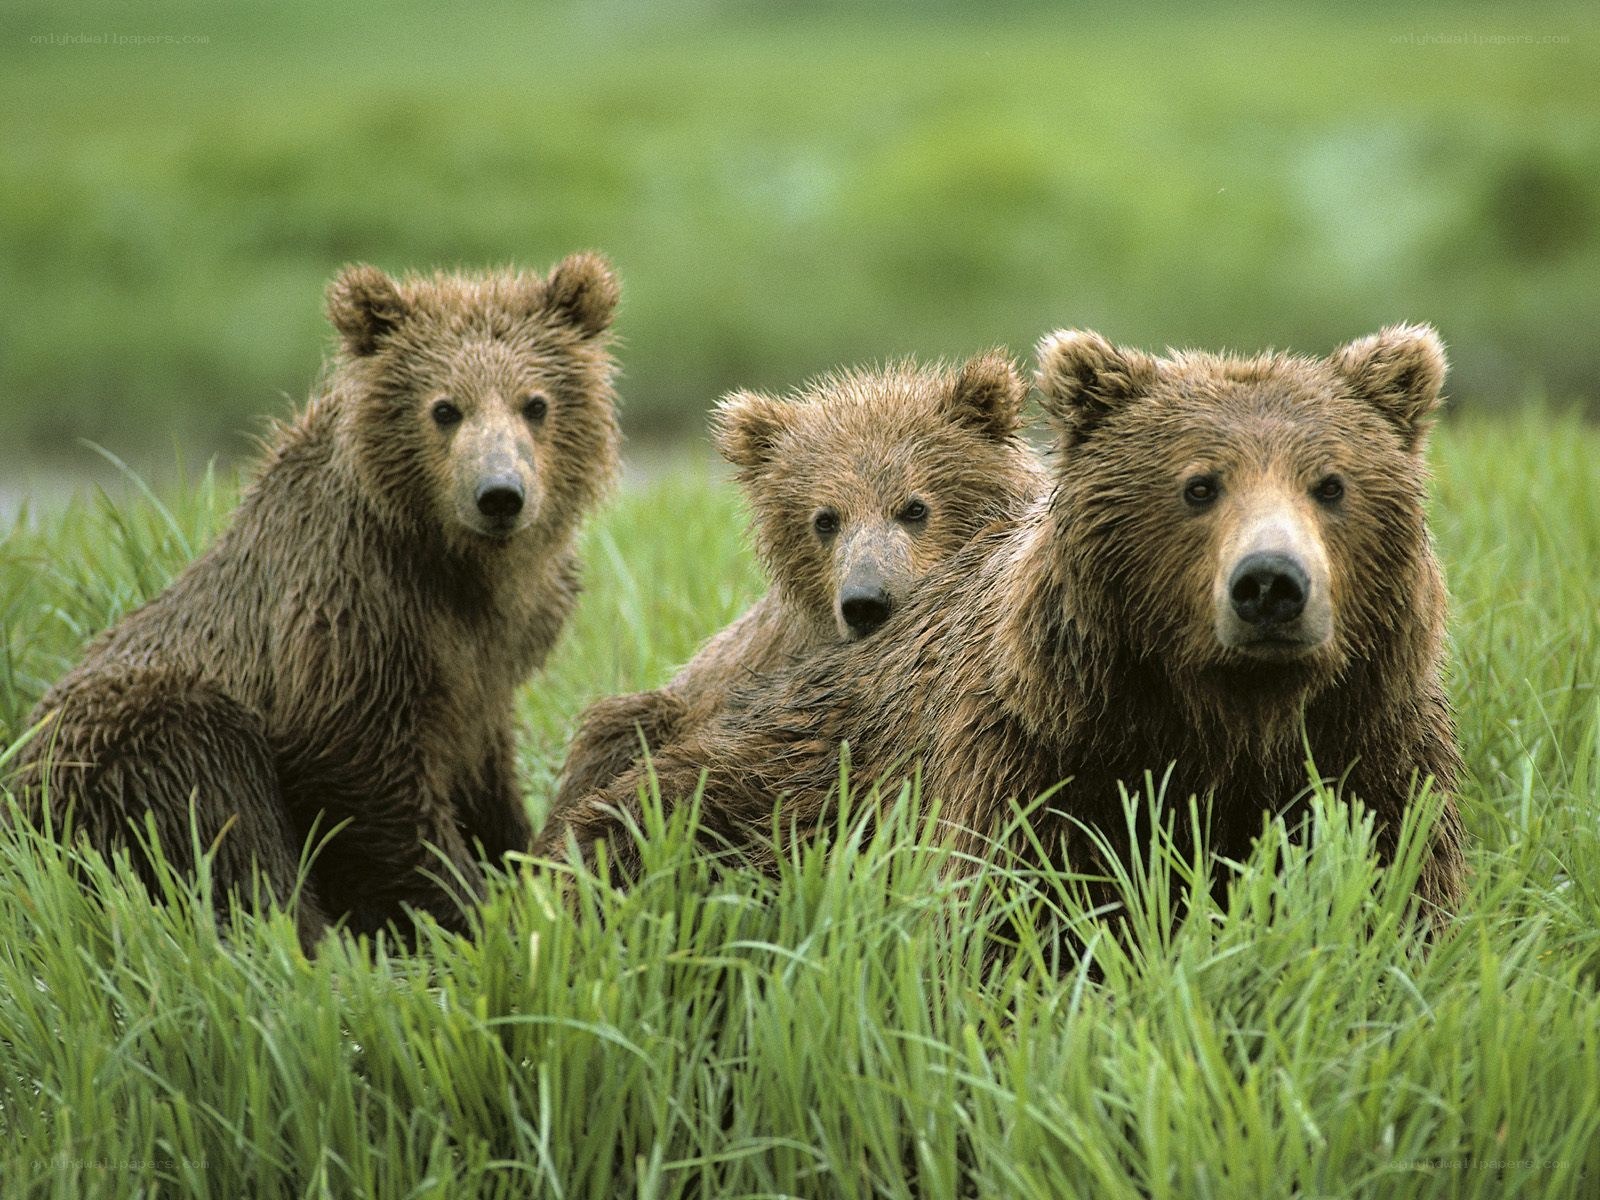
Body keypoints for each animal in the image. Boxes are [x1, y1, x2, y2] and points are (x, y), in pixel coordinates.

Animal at [11, 254, 621, 948]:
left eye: (535, 403)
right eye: (445, 408)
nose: (499, 494)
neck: (458, 568)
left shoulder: (491, 658)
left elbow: (486, 774)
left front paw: (518, 860)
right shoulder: (351, 613)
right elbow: (364, 779)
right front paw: (471, 911)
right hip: (136, 741)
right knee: (219, 820)